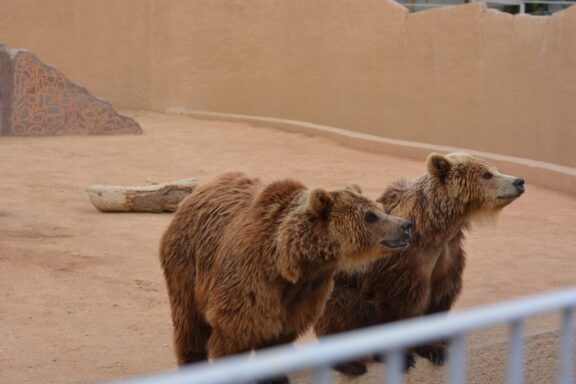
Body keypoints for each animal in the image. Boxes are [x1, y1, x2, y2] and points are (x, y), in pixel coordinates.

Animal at [156, 172, 410, 382]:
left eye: (380, 208)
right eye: (370, 216)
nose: (406, 225)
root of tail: (196, 193)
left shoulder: (305, 292)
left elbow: (282, 330)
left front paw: (275, 375)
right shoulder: (250, 278)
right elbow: (235, 328)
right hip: (188, 259)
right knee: (189, 317)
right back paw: (192, 363)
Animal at [316, 153, 528, 376]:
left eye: (496, 169)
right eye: (487, 174)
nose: (519, 181)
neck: (433, 231)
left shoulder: (448, 257)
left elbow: (438, 299)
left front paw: (435, 349)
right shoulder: (402, 265)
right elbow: (394, 305)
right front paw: (402, 358)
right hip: (338, 292)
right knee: (349, 309)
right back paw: (351, 363)